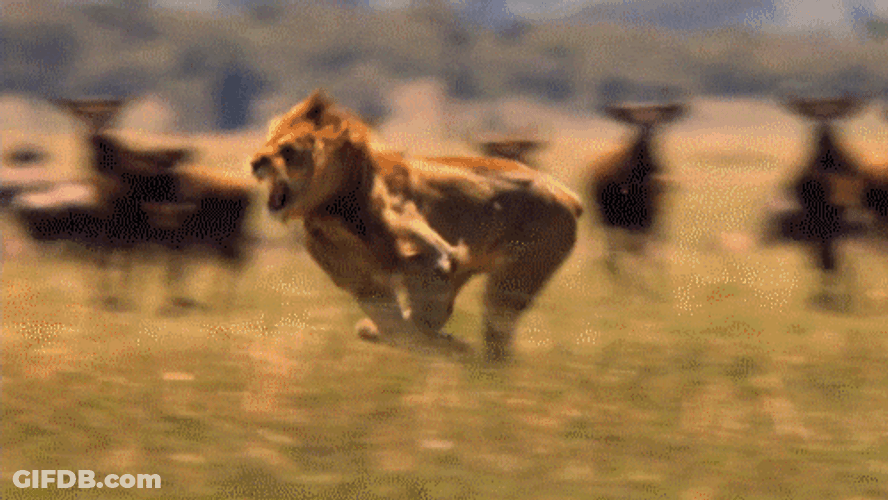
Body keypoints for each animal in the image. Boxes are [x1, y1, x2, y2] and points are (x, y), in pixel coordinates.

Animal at [249, 90, 583, 361]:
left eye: (287, 150)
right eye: (267, 143)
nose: (254, 162)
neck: (331, 211)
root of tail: (565, 192)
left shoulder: (434, 258)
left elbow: (409, 327)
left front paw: (452, 345)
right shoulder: (364, 284)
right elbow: (394, 327)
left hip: (514, 279)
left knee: (497, 336)